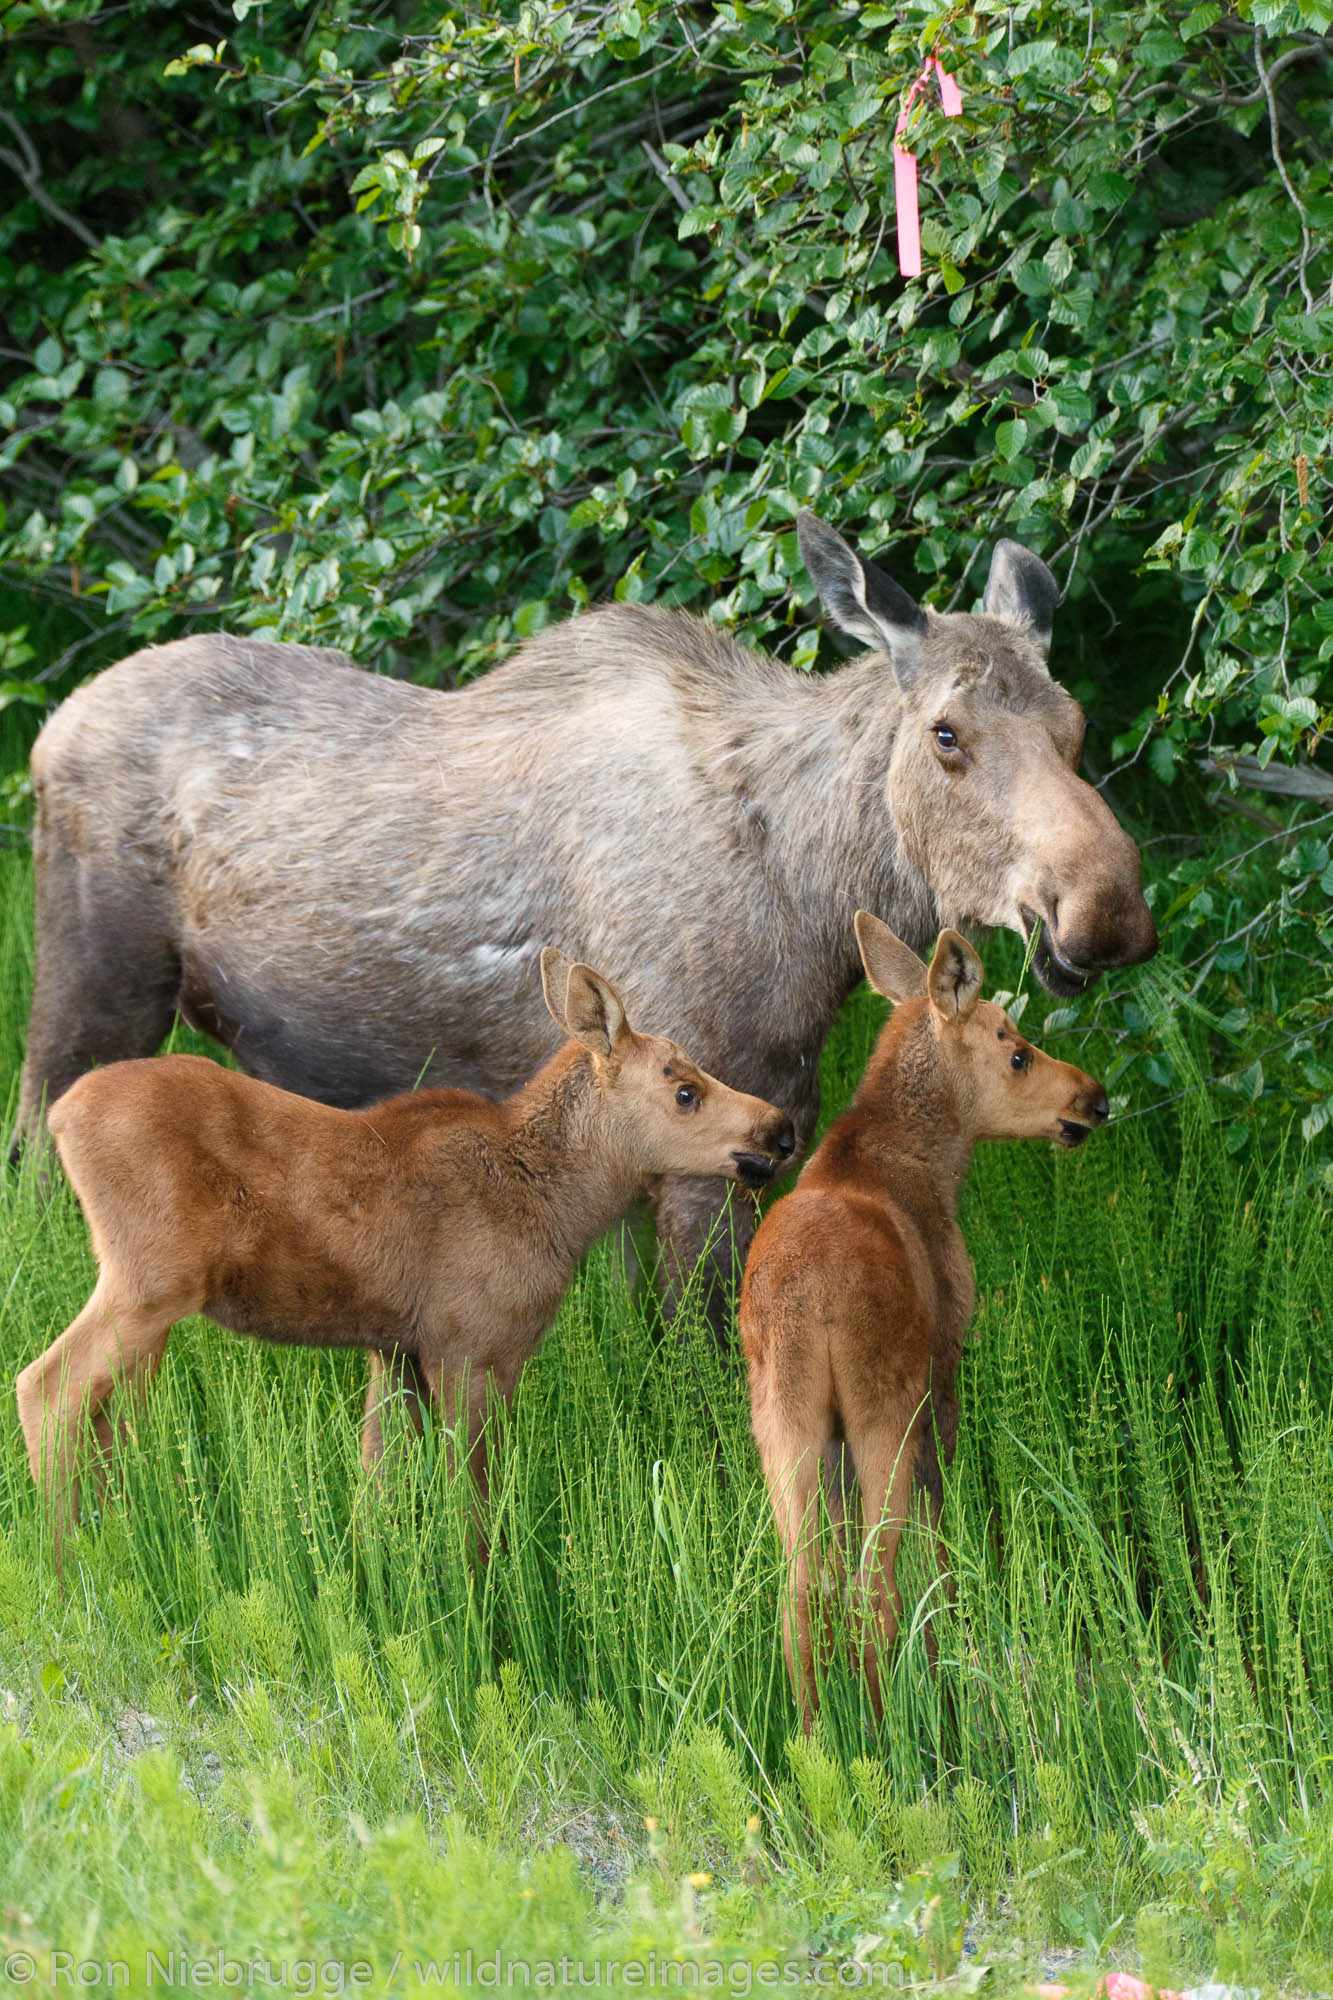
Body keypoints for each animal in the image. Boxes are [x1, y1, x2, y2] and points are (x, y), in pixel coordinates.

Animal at [13, 516, 1152, 1320]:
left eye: (1074, 723)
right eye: (947, 732)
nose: (1103, 912)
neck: (814, 897)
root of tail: (49, 727)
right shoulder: (711, 1145)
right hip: (89, 992)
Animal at [20, 952, 792, 1544]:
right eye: (686, 1091)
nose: (780, 1131)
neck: (563, 1206)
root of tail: (61, 1116)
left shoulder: (396, 1351)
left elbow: (378, 1492)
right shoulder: (474, 1348)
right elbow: (473, 1511)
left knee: (102, 1418)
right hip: (151, 1280)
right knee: (47, 1386)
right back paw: (69, 1562)